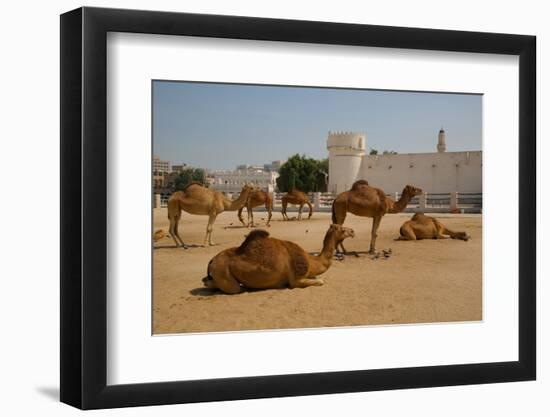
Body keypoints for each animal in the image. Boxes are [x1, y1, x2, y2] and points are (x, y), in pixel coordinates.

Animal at [205, 224, 356, 292]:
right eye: (342, 229)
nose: (352, 231)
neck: (312, 261)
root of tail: (212, 261)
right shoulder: (296, 280)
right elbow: (321, 281)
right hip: (224, 273)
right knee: (233, 288)